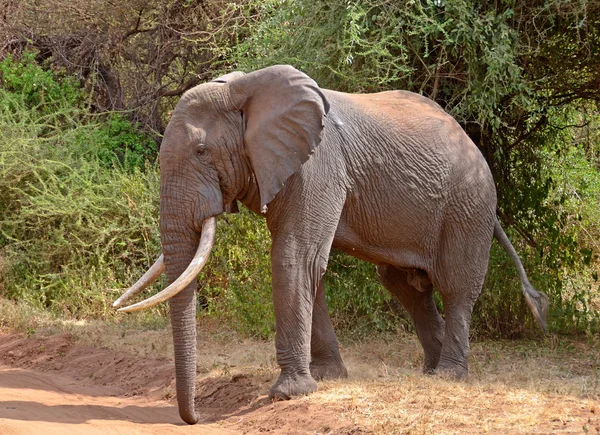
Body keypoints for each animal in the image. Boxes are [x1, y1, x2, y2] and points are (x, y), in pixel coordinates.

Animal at [112, 65, 548, 426]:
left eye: (202, 152)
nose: (197, 418)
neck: (246, 88)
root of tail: (470, 141)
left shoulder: (317, 164)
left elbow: (294, 256)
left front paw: (289, 394)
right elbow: (310, 266)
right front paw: (326, 377)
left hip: (468, 202)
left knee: (455, 285)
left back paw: (449, 376)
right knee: (405, 286)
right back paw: (430, 370)